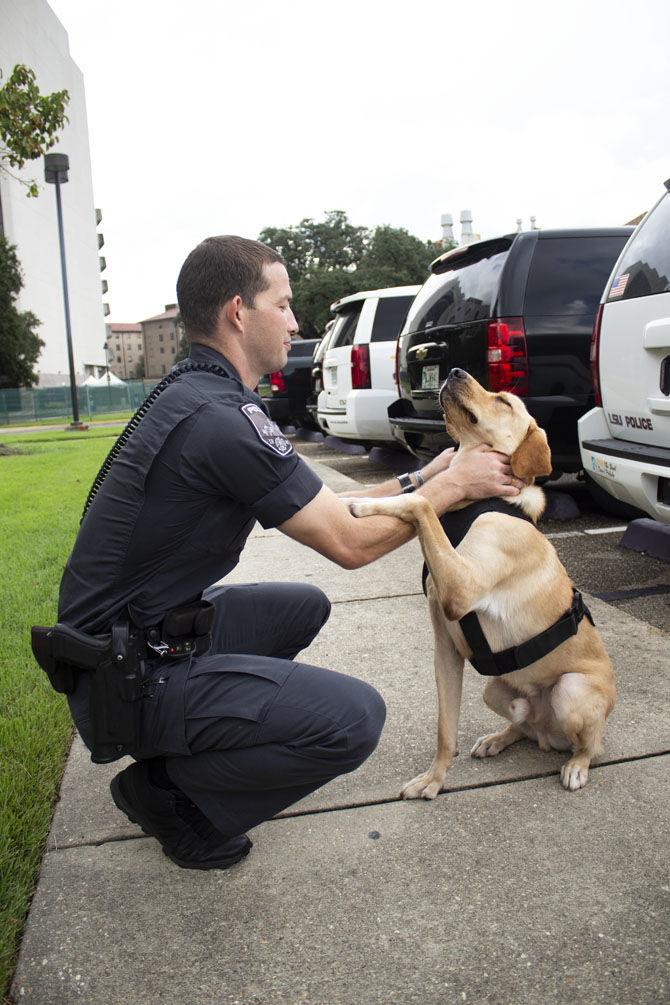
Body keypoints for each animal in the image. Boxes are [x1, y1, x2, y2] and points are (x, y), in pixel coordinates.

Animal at [349, 367, 614, 791]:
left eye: (504, 401)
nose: (455, 370)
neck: (474, 505)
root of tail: (549, 732)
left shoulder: (461, 589)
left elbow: (421, 501)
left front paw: (368, 502)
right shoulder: (446, 648)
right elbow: (446, 728)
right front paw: (434, 779)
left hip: (571, 691)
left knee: (591, 744)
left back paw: (577, 765)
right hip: (495, 690)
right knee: (524, 725)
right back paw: (497, 739)